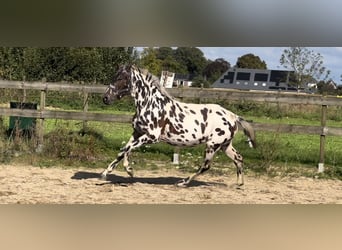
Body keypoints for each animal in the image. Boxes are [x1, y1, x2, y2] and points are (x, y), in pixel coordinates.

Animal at [100, 65, 255, 187]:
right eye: (115, 76)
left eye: (121, 78)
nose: (105, 98)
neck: (150, 104)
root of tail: (233, 116)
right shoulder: (137, 133)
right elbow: (123, 150)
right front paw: (108, 172)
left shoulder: (152, 137)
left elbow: (127, 149)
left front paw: (128, 170)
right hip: (225, 145)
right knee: (238, 158)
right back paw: (239, 184)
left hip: (213, 145)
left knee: (206, 166)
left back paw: (183, 182)